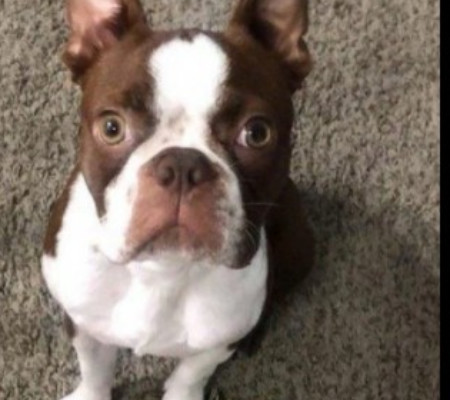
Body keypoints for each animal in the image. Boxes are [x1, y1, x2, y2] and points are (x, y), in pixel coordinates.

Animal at [42, 0, 315, 399]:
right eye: (111, 127)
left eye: (257, 133)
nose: (184, 165)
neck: (163, 269)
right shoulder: (83, 322)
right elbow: (95, 370)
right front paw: (90, 393)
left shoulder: (217, 341)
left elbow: (190, 374)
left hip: (297, 246)